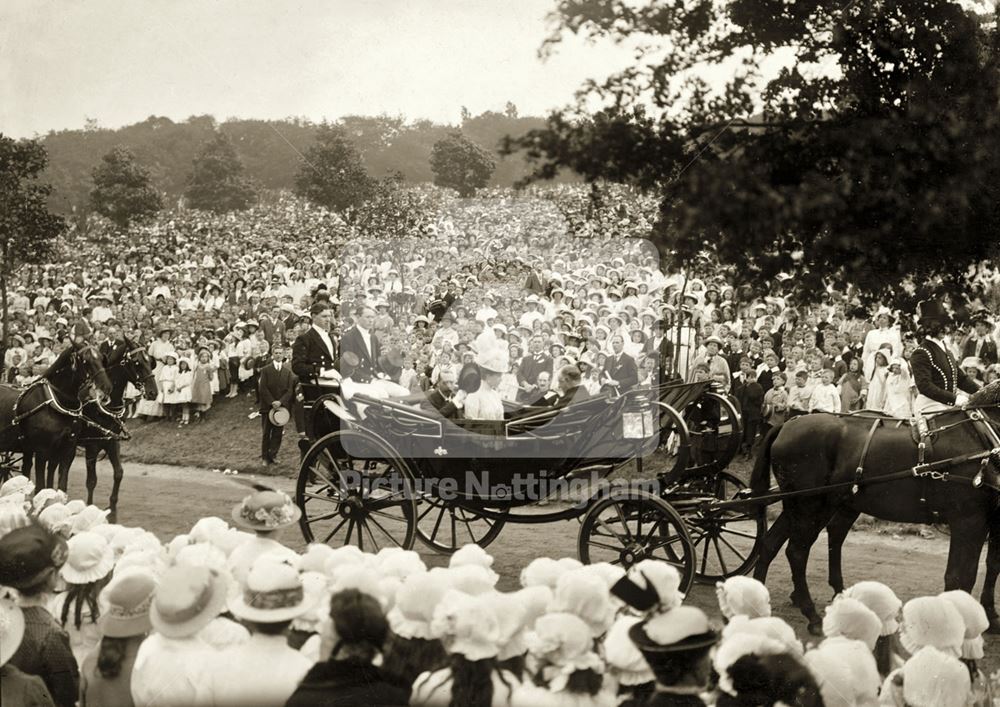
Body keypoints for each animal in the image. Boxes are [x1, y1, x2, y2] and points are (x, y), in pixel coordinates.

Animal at [0, 342, 112, 492]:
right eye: (85, 360)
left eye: (102, 359)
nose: (106, 388)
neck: (57, 405)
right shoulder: (41, 452)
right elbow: (41, 486)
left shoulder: (67, 451)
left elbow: (61, 486)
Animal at [752, 410, 996, 636]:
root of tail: (787, 424)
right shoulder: (968, 520)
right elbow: (961, 576)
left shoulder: (985, 522)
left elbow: (985, 568)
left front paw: (990, 615)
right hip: (810, 506)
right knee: (797, 552)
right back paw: (812, 616)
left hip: (803, 507)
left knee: (770, 544)